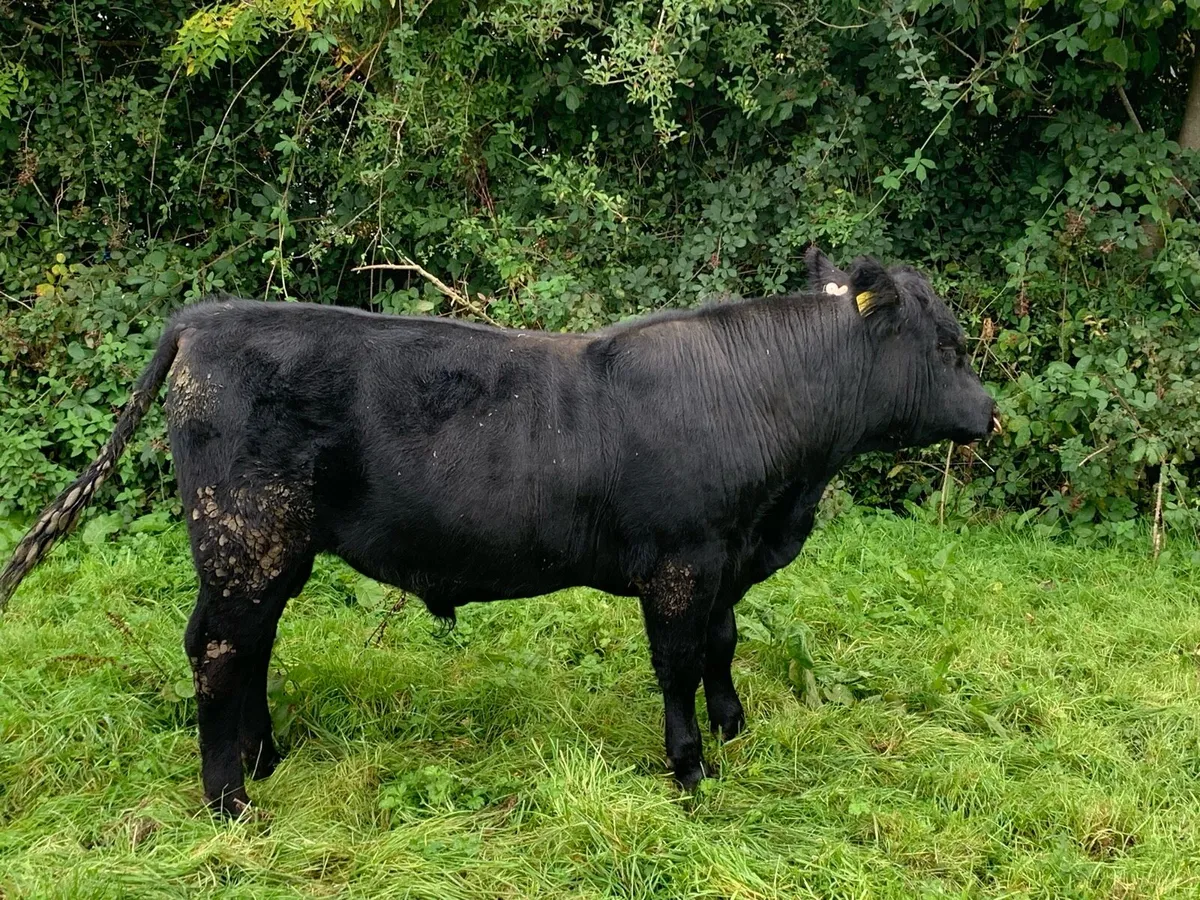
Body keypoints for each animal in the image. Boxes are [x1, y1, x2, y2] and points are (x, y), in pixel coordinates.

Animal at [0, 247, 1000, 817]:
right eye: (949, 344)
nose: (990, 414)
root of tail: (211, 314)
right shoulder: (683, 562)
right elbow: (678, 662)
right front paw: (689, 772)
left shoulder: (726, 561)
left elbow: (723, 645)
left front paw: (734, 731)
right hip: (246, 536)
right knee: (218, 649)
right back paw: (232, 802)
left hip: (266, 550)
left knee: (247, 646)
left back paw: (267, 758)